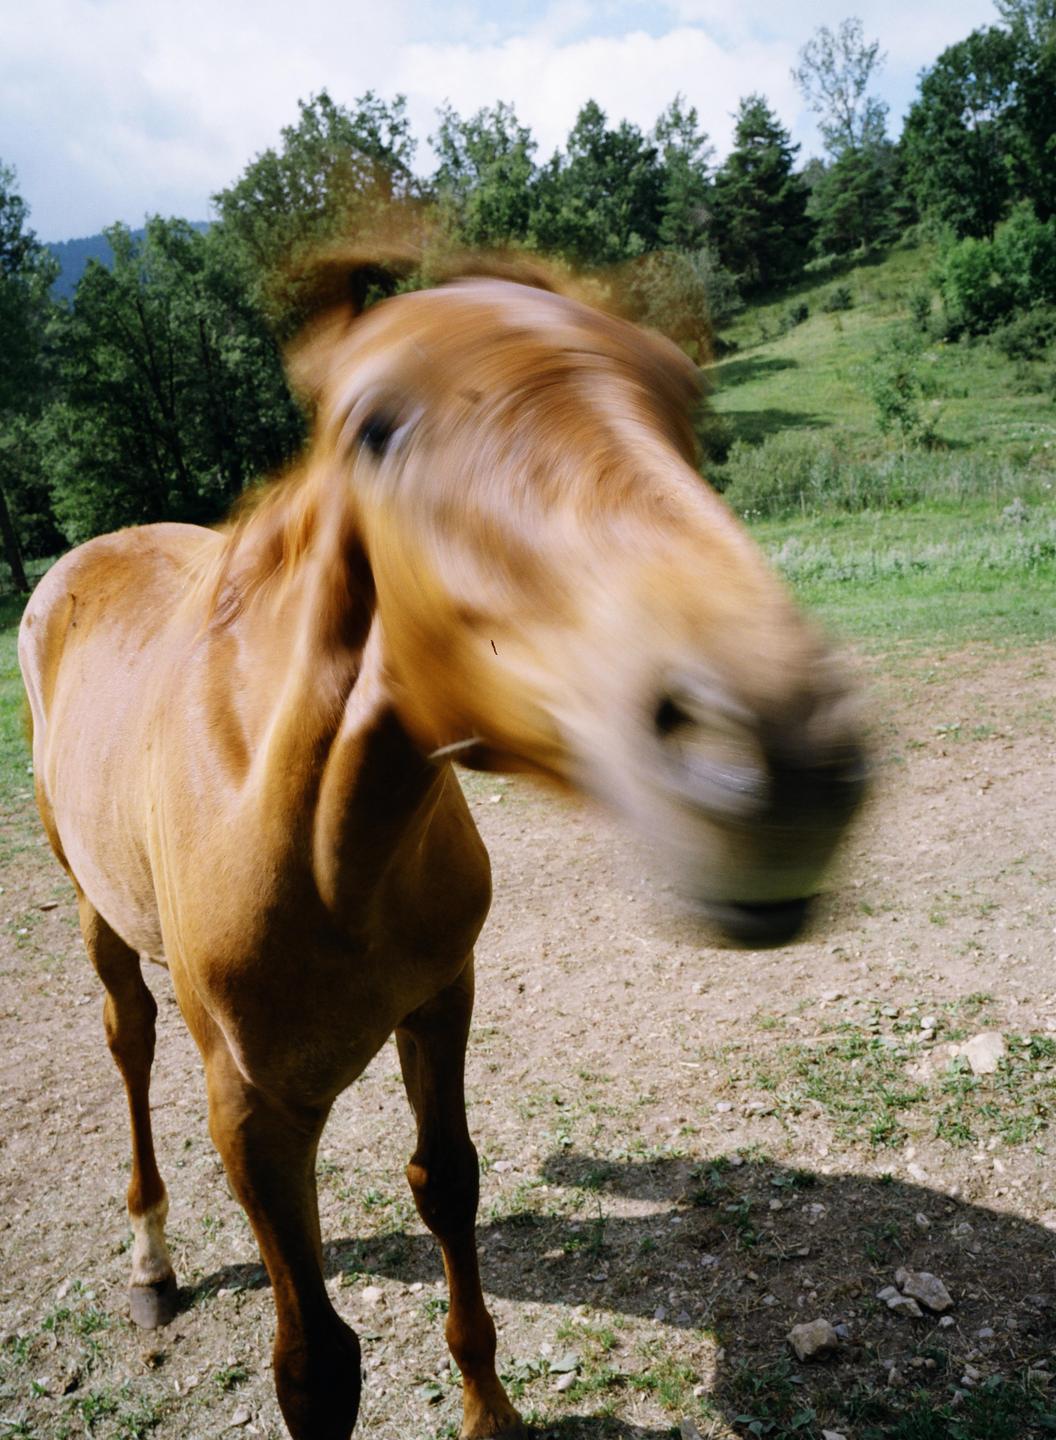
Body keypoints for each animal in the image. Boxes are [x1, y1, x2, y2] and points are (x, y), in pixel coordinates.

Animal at [18, 254, 865, 1440]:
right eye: (375, 427)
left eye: (678, 393)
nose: (784, 751)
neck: (325, 847)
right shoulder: (251, 1113)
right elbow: (315, 1367)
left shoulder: (440, 1001)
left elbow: (446, 1183)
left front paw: (489, 1408)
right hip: (95, 904)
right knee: (127, 1039)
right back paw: (151, 1258)